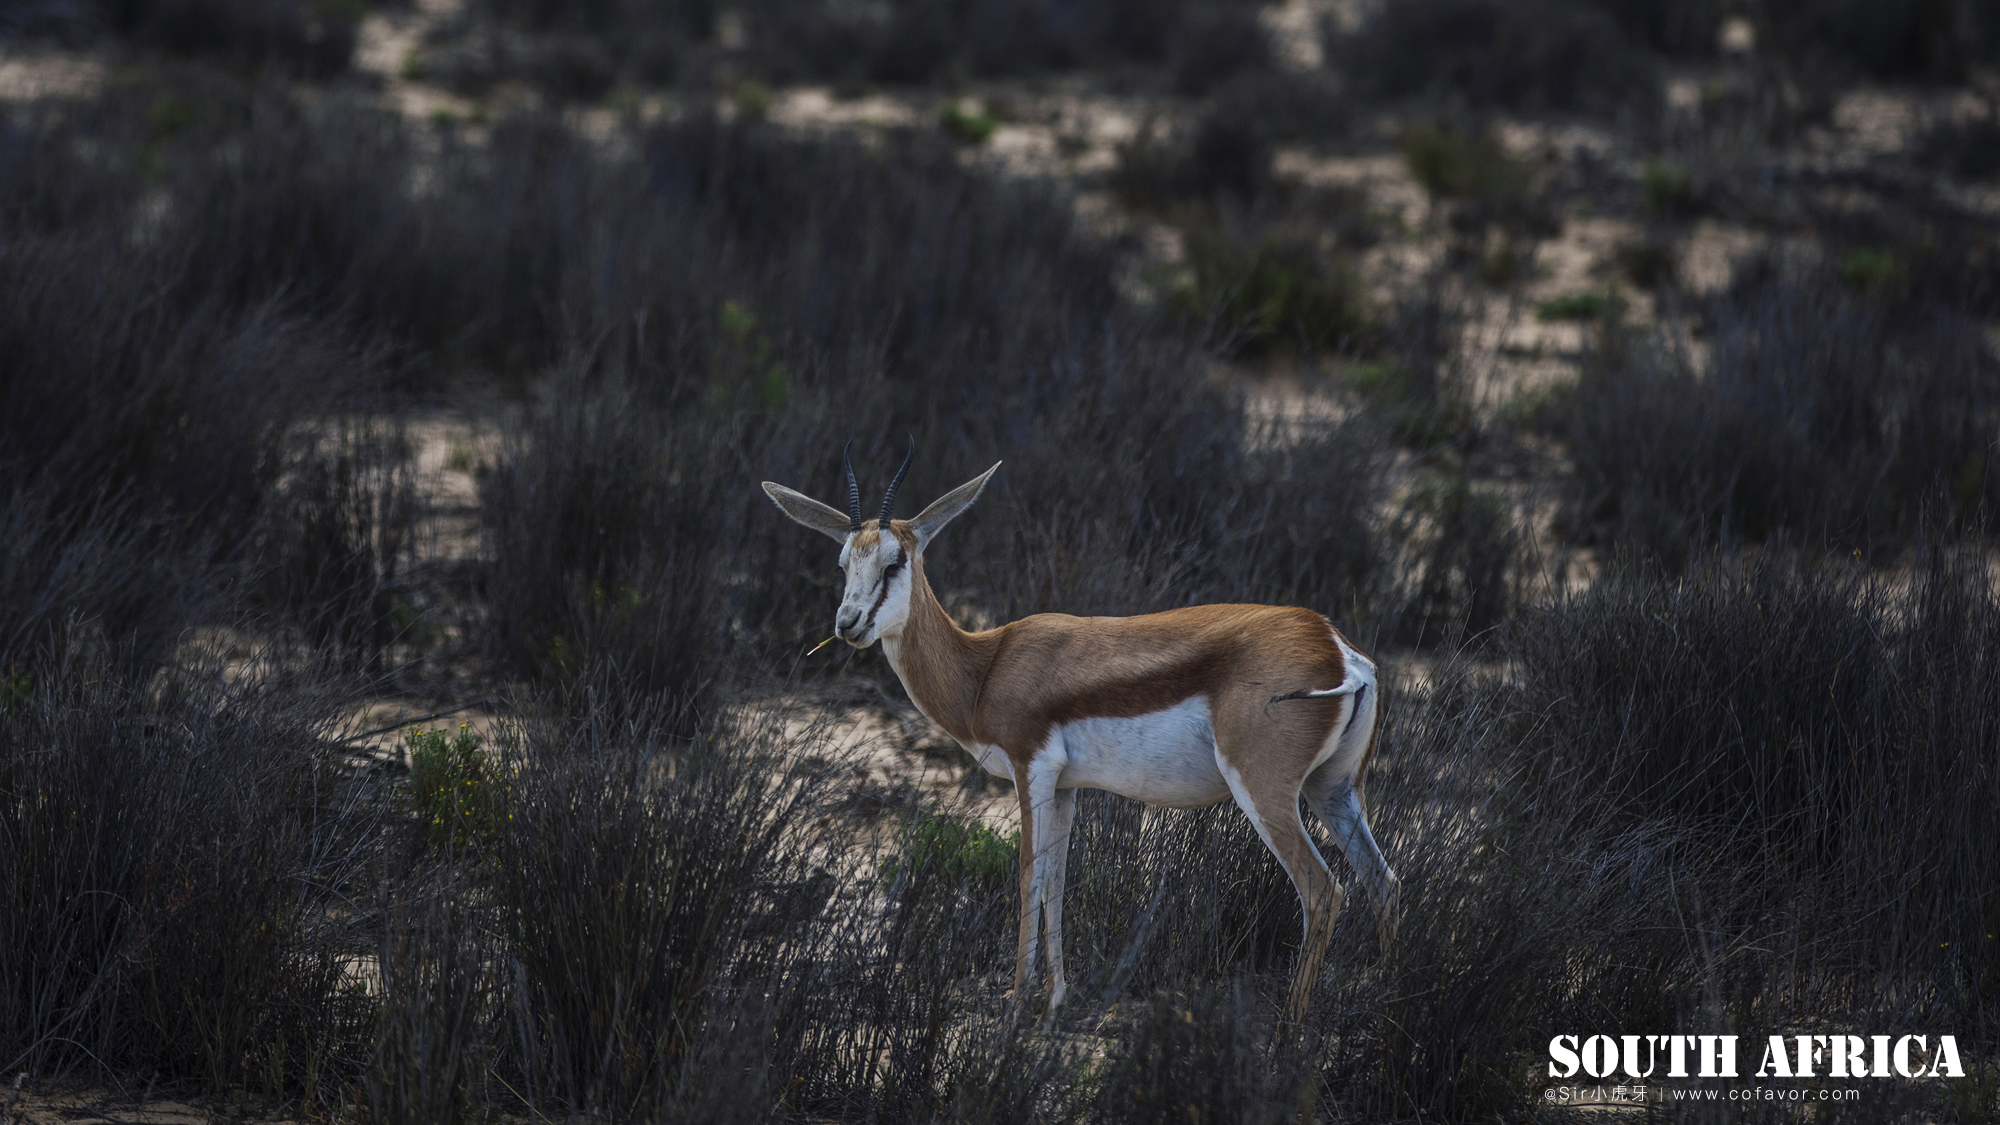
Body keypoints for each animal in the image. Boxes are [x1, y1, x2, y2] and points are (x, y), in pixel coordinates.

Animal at [764, 444, 1408, 1016]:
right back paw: (1388, 1008)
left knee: (1324, 892)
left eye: (894, 561)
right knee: (1384, 883)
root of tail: (1338, 651)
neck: (986, 668)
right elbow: (1057, 881)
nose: (848, 624)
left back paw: (1288, 1035)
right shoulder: (1068, 787)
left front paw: (1014, 1006)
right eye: (843, 564)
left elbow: (1028, 876)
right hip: (1333, 790)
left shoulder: (1030, 769)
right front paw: (1054, 1002)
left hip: (1265, 791)